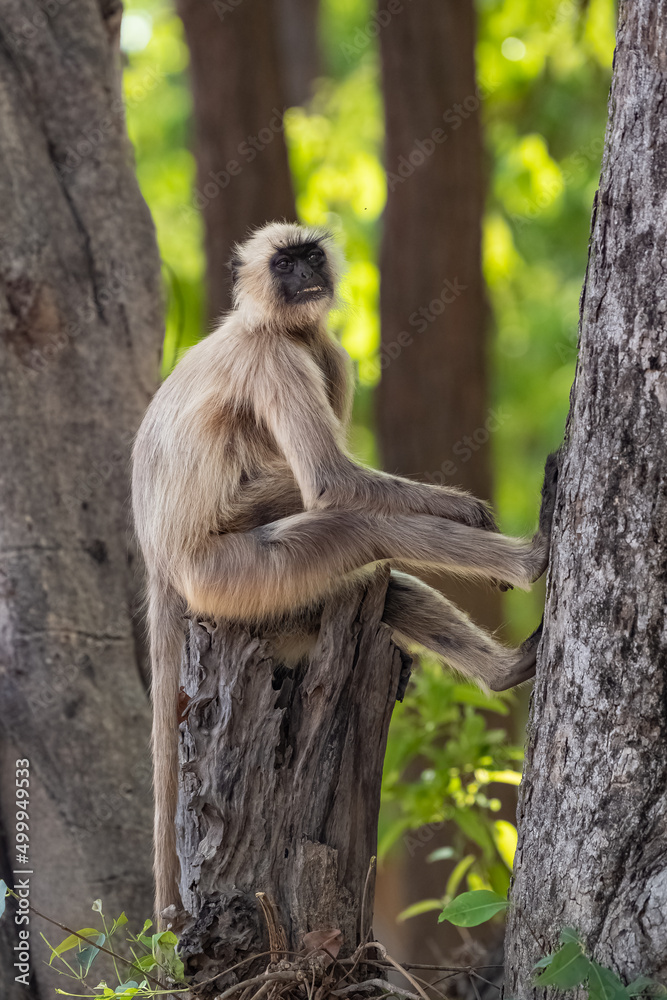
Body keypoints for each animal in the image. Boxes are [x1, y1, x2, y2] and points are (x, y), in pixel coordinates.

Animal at [131, 221, 558, 924]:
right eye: (284, 264)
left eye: (310, 255)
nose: (305, 273)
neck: (272, 324)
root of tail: (161, 563)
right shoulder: (276, 357)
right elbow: (332, 484)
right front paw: (465, 510)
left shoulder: (324, 351)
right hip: (229, 574)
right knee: (360, 527)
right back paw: (533, 558)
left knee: (377, 580)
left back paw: (504, 671)